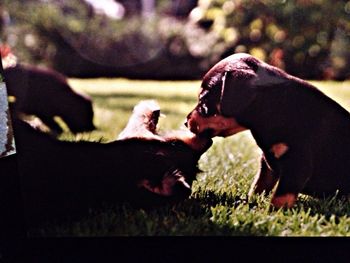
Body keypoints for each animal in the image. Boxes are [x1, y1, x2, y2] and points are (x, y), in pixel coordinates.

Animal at [187, 53, 350, 209]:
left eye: (203, 103)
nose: (185, 121)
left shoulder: (296, 162)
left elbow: (280, 198)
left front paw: (271, 213)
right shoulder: (266, 163)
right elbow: (258, 186)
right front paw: (249, 204)